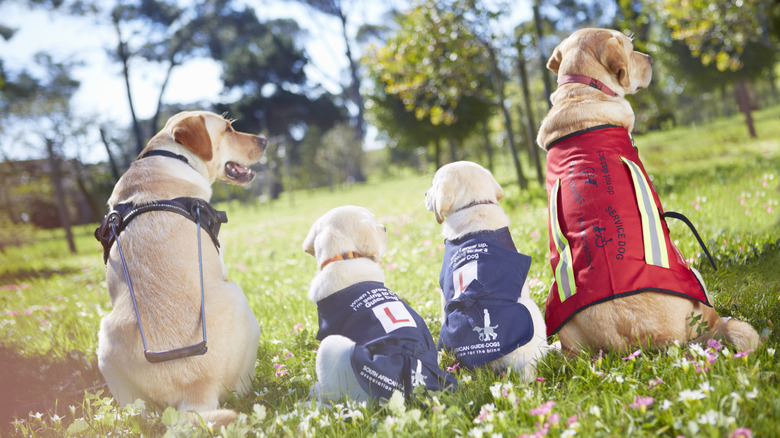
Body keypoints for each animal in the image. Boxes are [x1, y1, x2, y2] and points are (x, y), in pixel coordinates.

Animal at [94, 111, 264, 426]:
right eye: (228, 129)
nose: (265, 140)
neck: (171, 156)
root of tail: (194, 391)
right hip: (239, 297)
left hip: (104, 343)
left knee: (141, 414)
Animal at [532, 29, 760, 354]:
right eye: (630, 49)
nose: (651, 58)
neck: (581, 90)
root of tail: (647, 345)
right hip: (696, 278)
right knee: (718, 320)